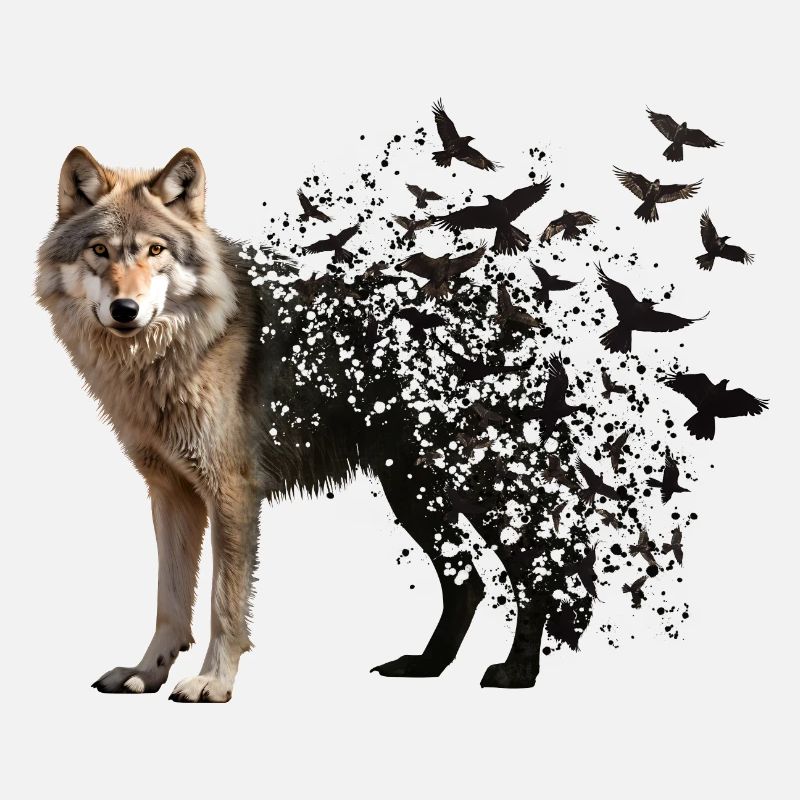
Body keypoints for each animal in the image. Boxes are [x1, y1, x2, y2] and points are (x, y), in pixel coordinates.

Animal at [36, 147, 592, 701]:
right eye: (100, 251)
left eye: (155, 250)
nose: (124, 309)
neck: (173, 351)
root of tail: (517, 321)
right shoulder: (171, 493)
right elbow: (169, 602)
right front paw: (146, 673)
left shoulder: (232, 491)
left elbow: (223, 603)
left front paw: (214, 681)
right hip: (412, 491)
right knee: (468, 584)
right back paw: (425, 665)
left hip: (469, 485)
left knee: (538, 568)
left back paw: (516, 672)